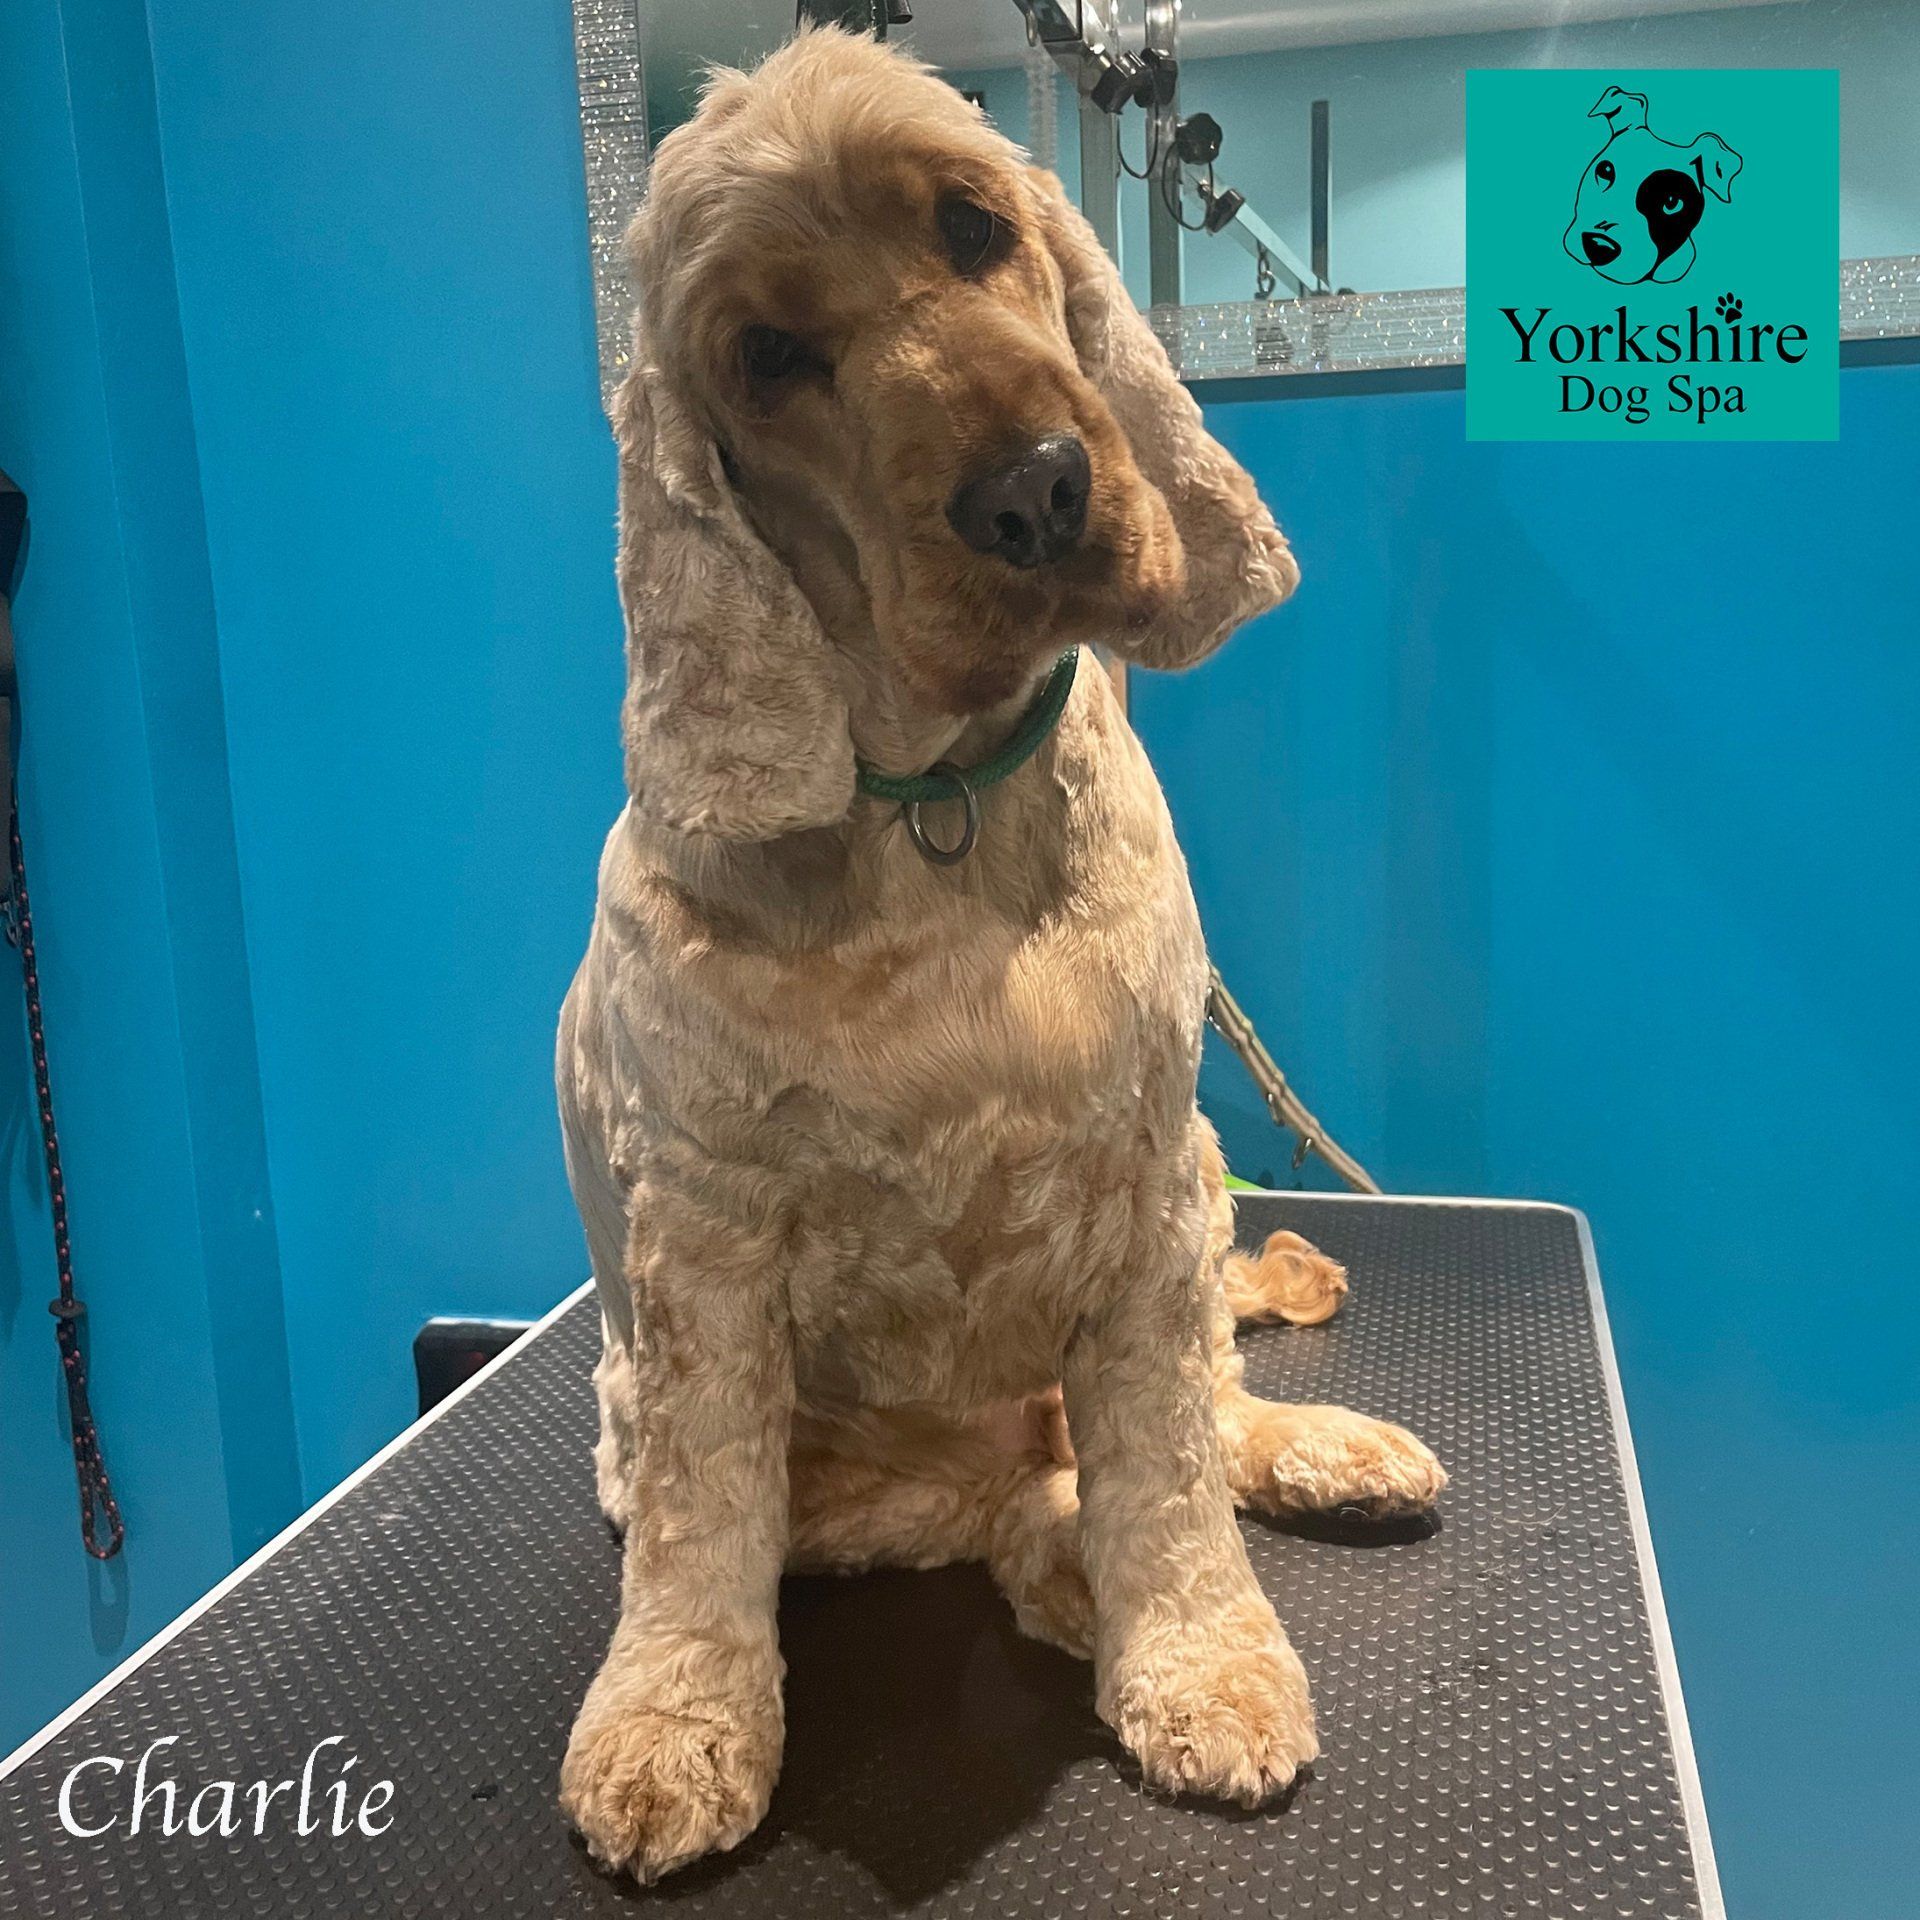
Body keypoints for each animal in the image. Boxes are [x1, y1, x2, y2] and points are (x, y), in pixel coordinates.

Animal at [555, 27, 1445, 1883]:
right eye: (766, 356)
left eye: (973, 226)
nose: (1037, 490)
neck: (938, 808)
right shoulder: (705, 1249)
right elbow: (697, 1520)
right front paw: (673, 1724)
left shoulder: (1148, 1180)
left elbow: (1169, 1462)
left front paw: (1206, 1660)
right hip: (878, 1483)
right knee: (1017, 1515)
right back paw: (1068, 1571)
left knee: (1198, 1417)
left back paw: (1330, 1446)